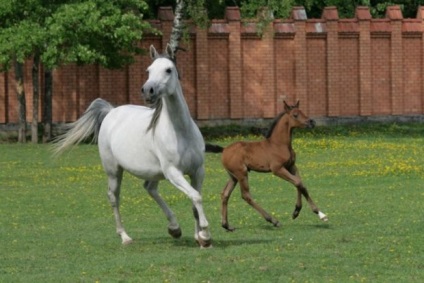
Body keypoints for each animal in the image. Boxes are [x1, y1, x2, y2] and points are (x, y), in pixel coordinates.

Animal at [53, 44, 212, 248]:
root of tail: (111, 111)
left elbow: (194, 201)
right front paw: (205, 235)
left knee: (150, 188)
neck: (181, 132)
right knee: (114, 197)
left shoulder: (197, 171)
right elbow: (196, 197)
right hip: (114, 171)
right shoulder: (173, 173)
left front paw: (199, 237)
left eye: (168, 69)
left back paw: (174, 228)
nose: (148, 90)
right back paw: (125, 237)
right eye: (148, 70)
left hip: (154, 172)